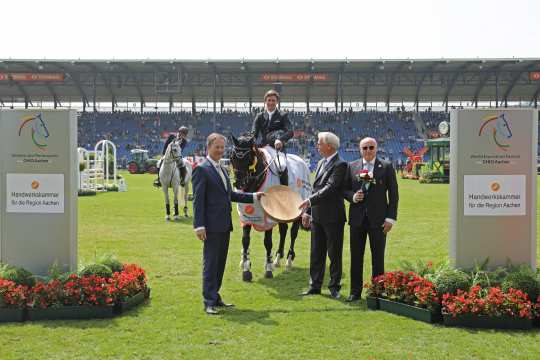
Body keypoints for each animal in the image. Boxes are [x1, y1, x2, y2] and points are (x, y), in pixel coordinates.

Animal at [230, 134, 310, 282]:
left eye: (249, 157)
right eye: (232, 157)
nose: (239, 183)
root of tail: (302, 161)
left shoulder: (267, 218)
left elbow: (267, 242)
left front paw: (268, 268)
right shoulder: (246, 216)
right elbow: (245, 240)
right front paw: (246, 268)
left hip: (299, 208)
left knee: (293, 233)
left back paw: (289, 260)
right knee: (283, 230)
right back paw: (277, 258)